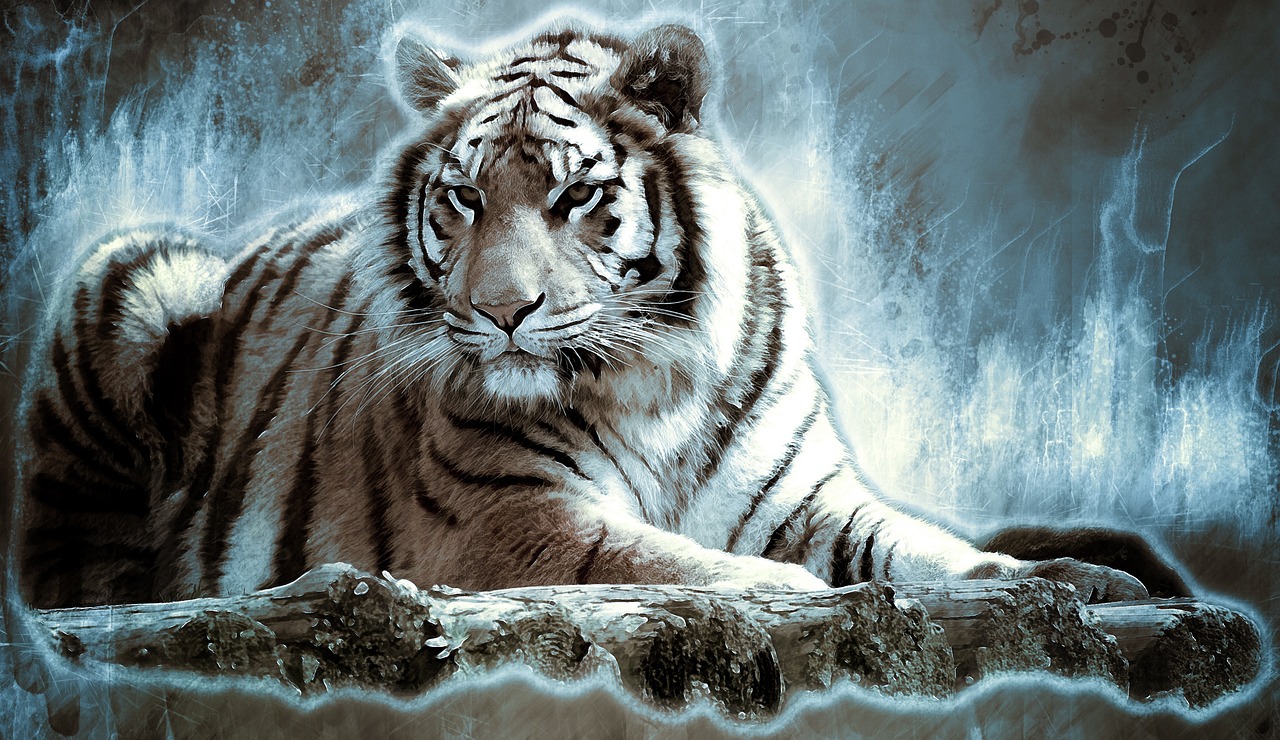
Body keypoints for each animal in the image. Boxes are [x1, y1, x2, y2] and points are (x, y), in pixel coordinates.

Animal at [17, 22, 1159, 610]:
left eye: (575, 196)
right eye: (464, 197)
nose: (500, 311)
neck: (660, 385)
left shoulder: (810, 500)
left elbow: (927, 549)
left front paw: (1072, 577)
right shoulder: (512, 519)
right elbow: (675, 563)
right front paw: (795, 595)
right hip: (137, 269)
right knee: (61, 569)